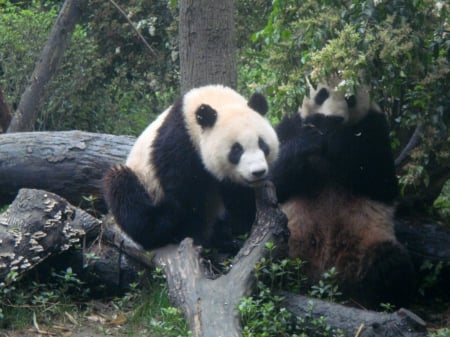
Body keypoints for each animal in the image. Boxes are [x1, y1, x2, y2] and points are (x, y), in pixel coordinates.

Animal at [103, 84, 278, 252]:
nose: (258, 172)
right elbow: (186, 194)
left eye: (262, 144)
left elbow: (237, 197)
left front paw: (240, 231)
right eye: (236, 150)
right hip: (143, 180)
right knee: (125, 192)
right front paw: (194, 237)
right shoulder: (180, 143)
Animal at [268, 80, 416, 308]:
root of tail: (325, 279)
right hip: (291, 238)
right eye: (321, 94)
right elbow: (275, 178)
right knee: (269, 256)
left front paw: (334, 135)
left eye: (350, 98)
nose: (334, 117)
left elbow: (382, 180)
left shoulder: (375, 128)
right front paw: (311, 137)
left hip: (368, 239)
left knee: (391, 262)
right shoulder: (289, 125)